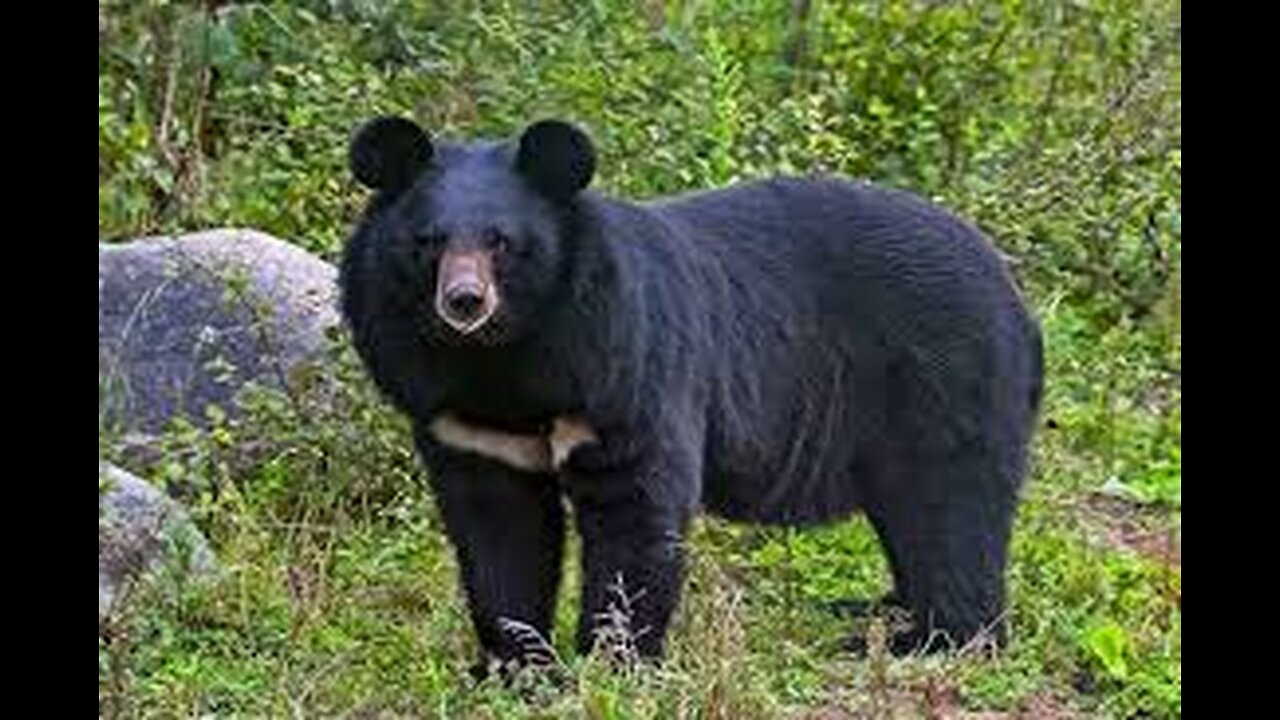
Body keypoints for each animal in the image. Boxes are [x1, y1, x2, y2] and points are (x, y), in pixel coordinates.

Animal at [340, 114, 1039, 671]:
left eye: (502, 242)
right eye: (428, 242)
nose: (465, 302)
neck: (504, 359)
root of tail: (1012, 289)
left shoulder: (621, 366)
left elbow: (635, 507)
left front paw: (613, 662)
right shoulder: (464, 420)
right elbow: (499, 530)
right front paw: (516, 666)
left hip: (947, 377)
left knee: (951, 505)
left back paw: (929, 638)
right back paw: (878, 611)